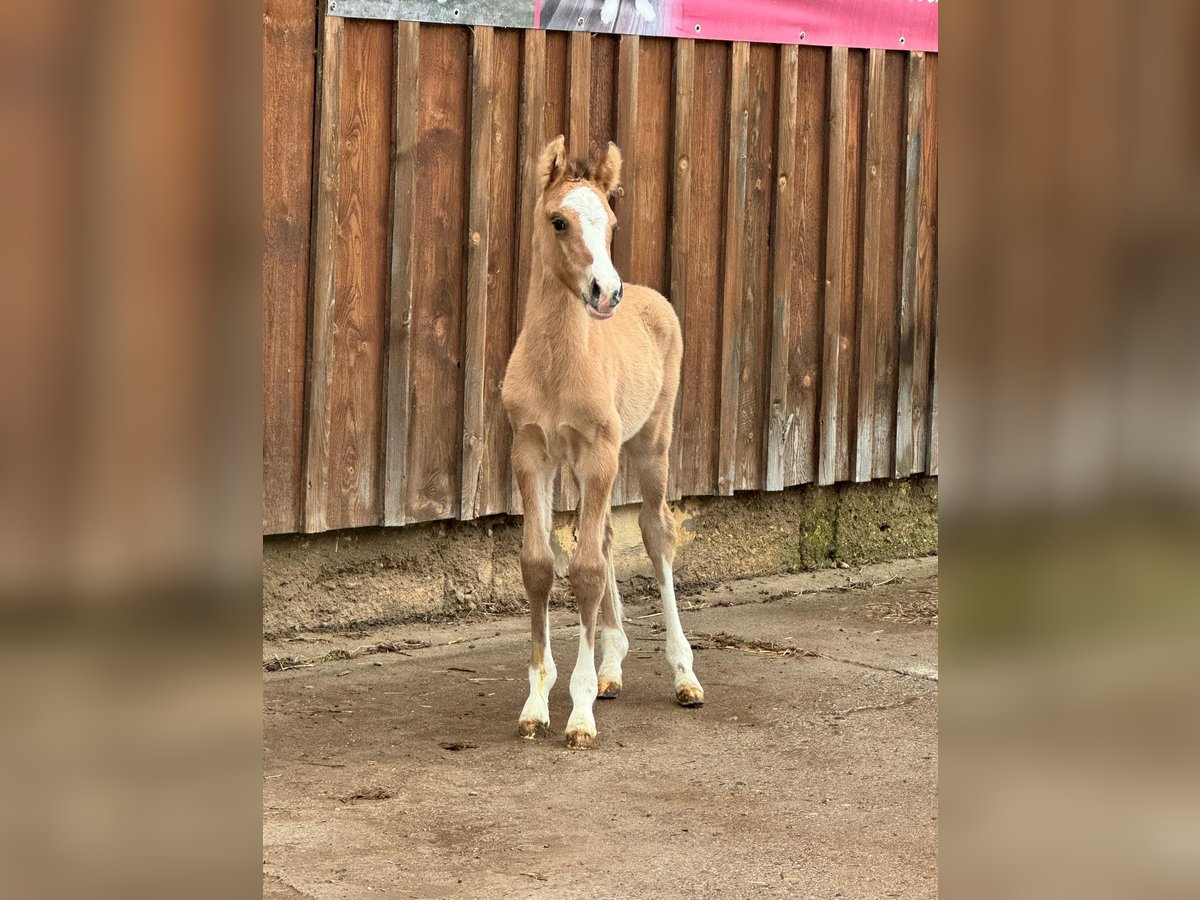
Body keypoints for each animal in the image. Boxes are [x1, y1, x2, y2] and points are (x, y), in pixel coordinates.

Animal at [499, 137, 700, 748]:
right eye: (558, 220)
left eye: (610, 223)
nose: (605, 292)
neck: (558, 365)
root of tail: (652, 298)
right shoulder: (532, 454)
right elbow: (540, 565)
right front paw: (537, 704)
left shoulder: (600, 454)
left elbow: (586, 570)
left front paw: (580, 714)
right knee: (609, 536)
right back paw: (612, 666)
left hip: (648, 445)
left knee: (656, 534)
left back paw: (684, 676)